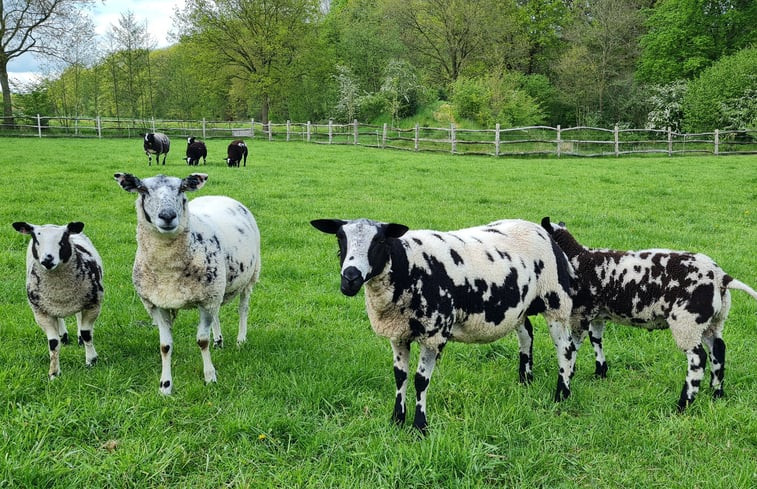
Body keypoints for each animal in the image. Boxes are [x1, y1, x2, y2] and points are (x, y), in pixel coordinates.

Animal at [11, 221, 102, 378]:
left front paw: (91, 361)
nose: (47, 259)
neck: (60, 291)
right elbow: (53, 343)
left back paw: (78, 339)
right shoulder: (41, 312)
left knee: (79, 316)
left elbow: (86, 333)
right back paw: (63, 336)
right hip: (51, 304)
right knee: (59, 318)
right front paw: (53, 373)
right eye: (36, 239)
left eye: (63, 239)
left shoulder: (93, 304)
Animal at [113, 172, 262, 392]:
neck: (168, 272)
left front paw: (210, 377)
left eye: (181, 189)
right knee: (216, 314)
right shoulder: (157, 304)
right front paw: (165, 386)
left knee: (243, 308)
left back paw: (241, 340)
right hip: (216, 289)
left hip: (249, 276)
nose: (167, 216)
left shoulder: (206, 300)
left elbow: (202, 341)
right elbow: (165, 346)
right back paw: (219, 341)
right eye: (143, 190)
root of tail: (221, 196)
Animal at [310, 216, 576, 430]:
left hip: (556, 301)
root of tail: (541, 229)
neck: (408, 266)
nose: (350, 278)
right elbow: (400, 376)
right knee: (527, 335)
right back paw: (525, 381)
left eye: (379, 241)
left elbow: (420, 381)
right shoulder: (398, 333)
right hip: (518, 307)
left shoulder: (433, 334)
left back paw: (562, 394)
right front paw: (397, 420)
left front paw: (420, 427)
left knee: (566, 348)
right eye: (340, 238)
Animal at [540, 215, 756, 410]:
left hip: (687, 321)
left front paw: (568, 377)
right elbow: (596, 340)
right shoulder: (597, 315)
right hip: (712, 321)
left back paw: (683, 403)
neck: (578, 258)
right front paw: (600, 372)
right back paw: (717, 393)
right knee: (718, 350)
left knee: (698, 358)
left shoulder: (581, 314)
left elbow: (571, 348)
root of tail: (720, 276)